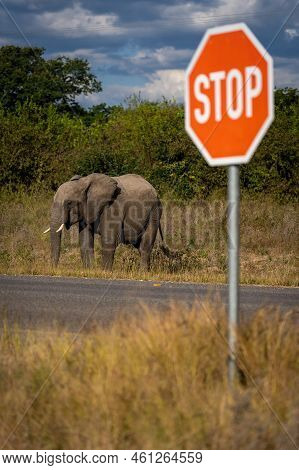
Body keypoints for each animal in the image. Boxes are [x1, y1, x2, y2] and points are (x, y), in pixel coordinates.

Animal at [43, 173, 172, 270]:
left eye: (69, 203)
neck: (84, 182)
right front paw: (90, 270)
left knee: (145, 246)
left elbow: (109, 240)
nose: (54, 269)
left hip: (154, 212)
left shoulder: (113, 207)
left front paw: (105, 272)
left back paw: (142, 273)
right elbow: (85, 240)